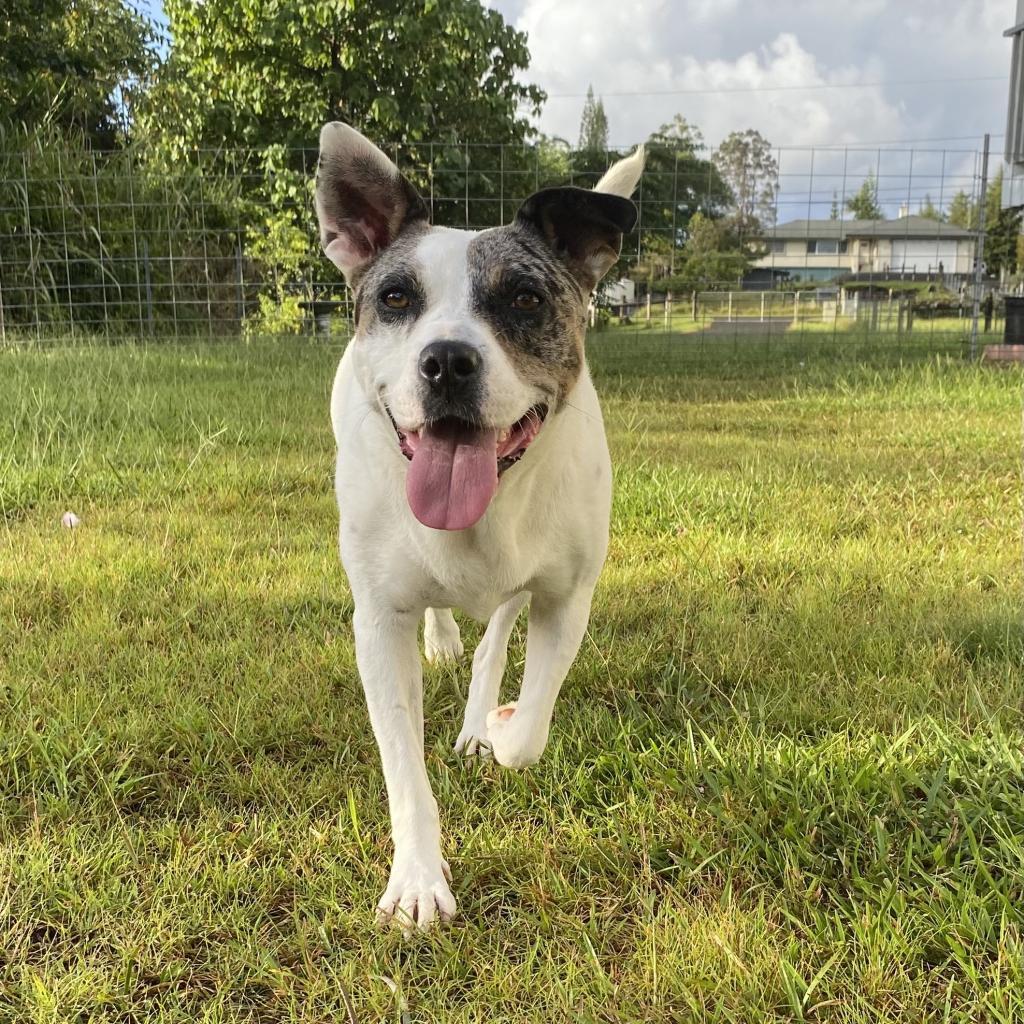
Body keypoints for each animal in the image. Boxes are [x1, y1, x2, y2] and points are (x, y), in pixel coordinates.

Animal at [315, 123, 643, 933]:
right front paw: (417, 882)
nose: (446, 361)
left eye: (524, 297)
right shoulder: (377, 621)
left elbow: (527, 733)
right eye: (396, 297)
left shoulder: (565, 598)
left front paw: (495, 725)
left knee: (496, 630)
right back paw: (442, 642)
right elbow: (404, 767)